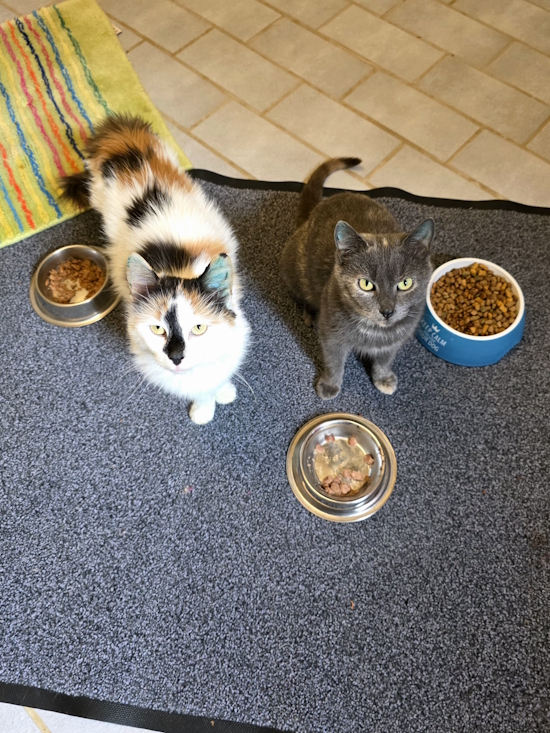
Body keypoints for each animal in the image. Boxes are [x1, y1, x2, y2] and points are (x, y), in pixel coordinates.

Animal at [60, 115, 250, 424]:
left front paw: (222, 392)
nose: (176, 357)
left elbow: (217, 369)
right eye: (157, 329)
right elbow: (199, 385)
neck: (180, 268)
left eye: (199, 328)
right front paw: (204, 408)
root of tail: (126, 145)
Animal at [280, 158, 435, 398]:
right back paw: (310, 314)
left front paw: (383, 378)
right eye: (366, 284)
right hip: (293, 271)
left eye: (405, 283)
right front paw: (330, 385)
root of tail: (311, 215)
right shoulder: (331, 334)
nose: (387, 311)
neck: (375, 332)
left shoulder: (397, 338)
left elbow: (385, 359)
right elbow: (334, 362)